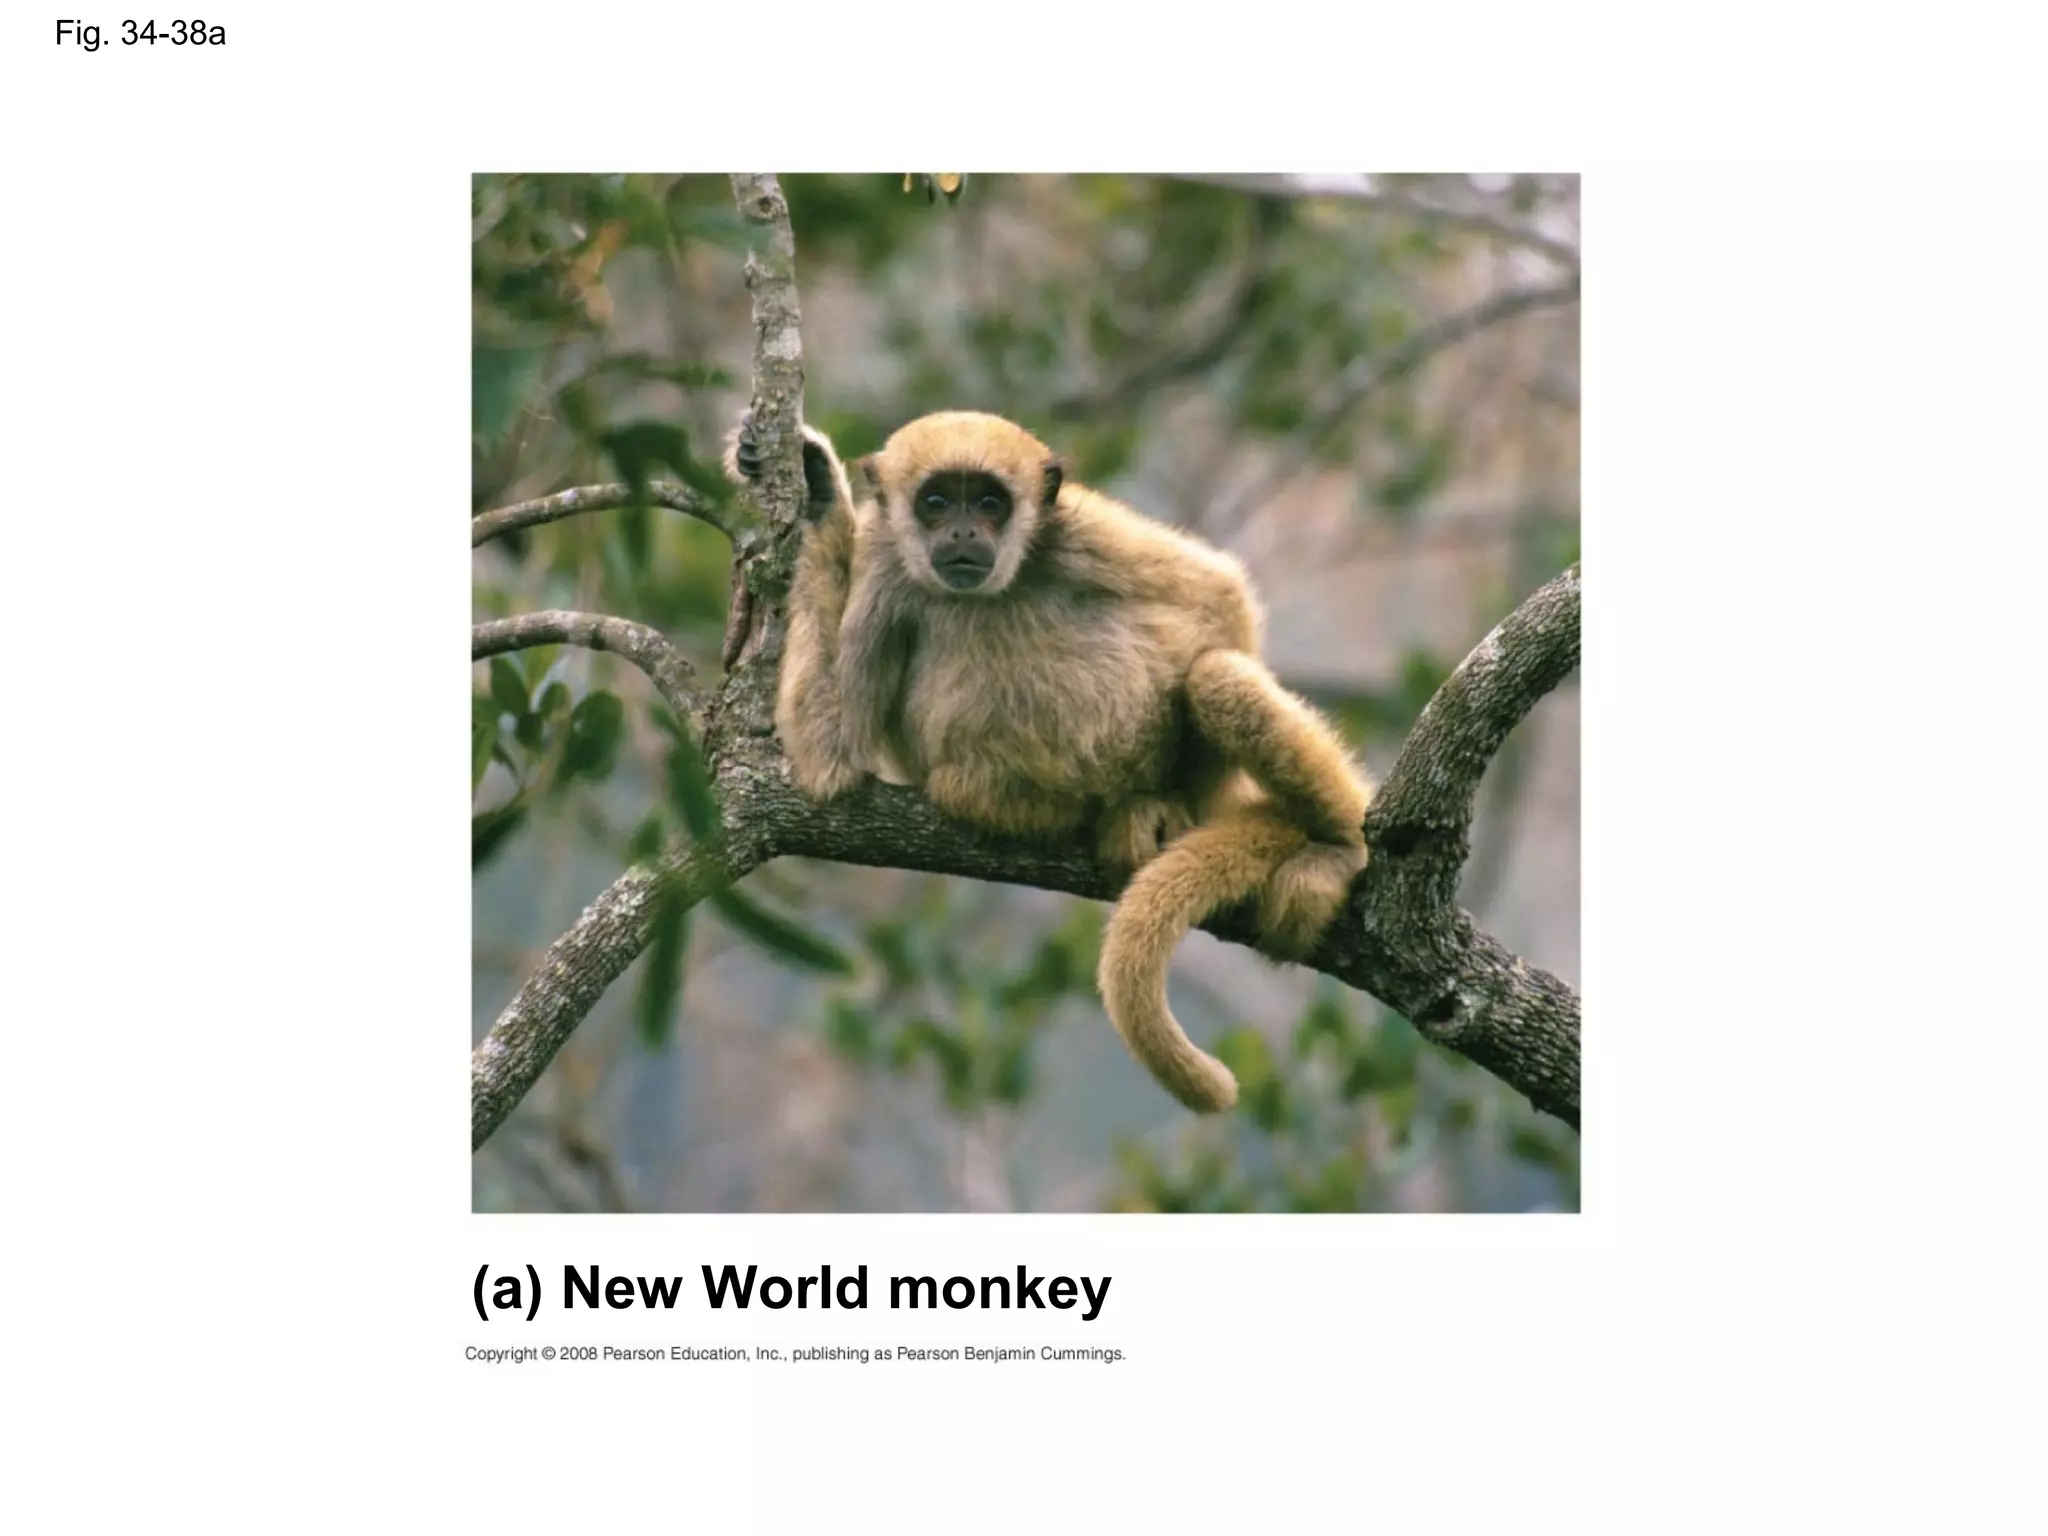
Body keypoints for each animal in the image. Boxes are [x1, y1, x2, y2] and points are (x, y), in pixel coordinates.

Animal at [727, 409, 1373, 1112]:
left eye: (989, 503)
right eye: (935, 503)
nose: (962, 530)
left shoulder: (1077, 530)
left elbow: (1222, 596)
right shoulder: (883, 561)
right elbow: (831, 765)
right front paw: (818, 489)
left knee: (1216, 677)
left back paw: (1331, 846)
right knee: (958, 782)